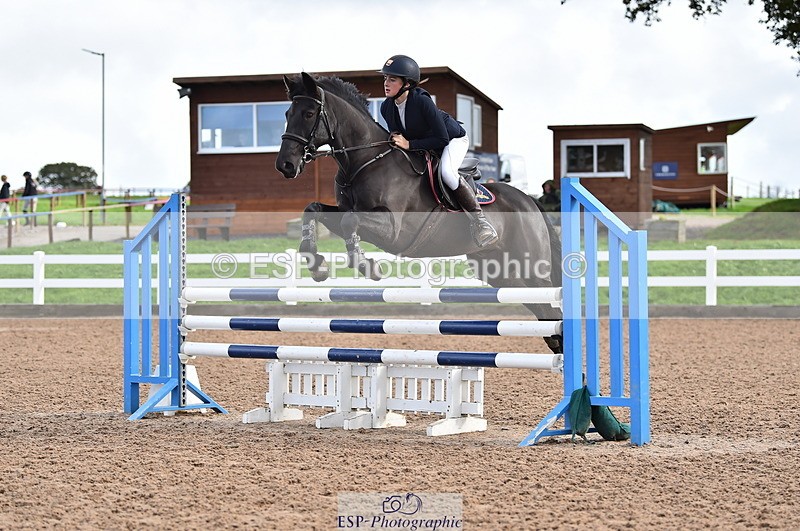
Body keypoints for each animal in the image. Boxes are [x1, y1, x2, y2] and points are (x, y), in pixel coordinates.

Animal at [275, 72, 563, 354]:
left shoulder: (393, 229)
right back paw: (555, 342)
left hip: (531, 267)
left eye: (309, 114)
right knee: (540, 306)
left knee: (549, 298)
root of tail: (529, 201)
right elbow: (314, 210)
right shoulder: (346, 212)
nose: (285, 165)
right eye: (287, 113)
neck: (364, 160)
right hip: (499, 270)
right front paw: (316, 265)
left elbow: (351, 221)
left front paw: (366, 265)